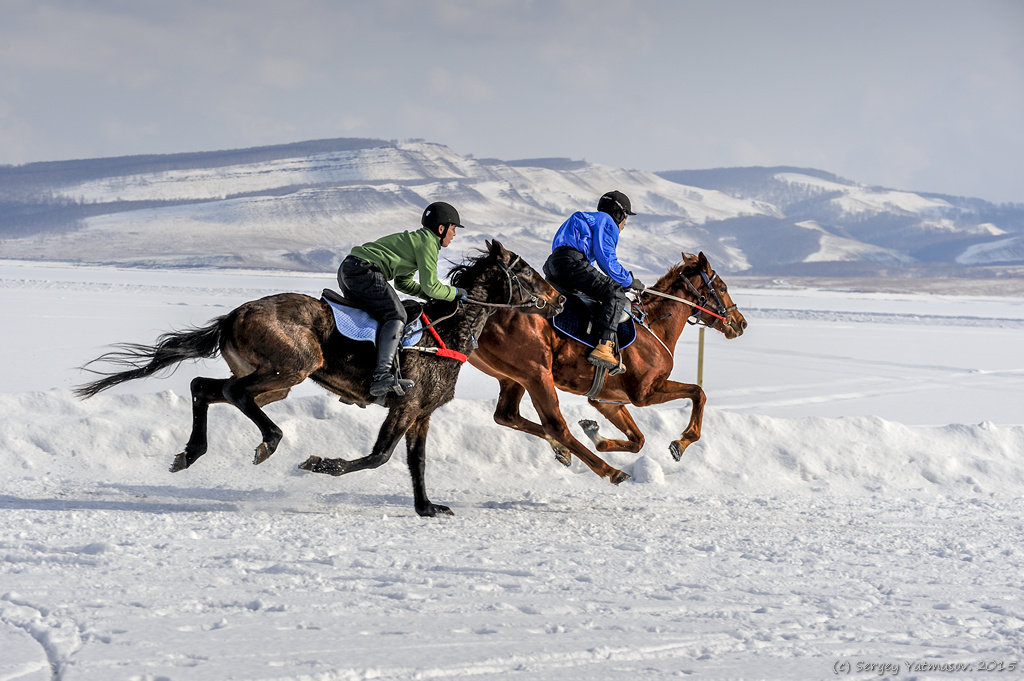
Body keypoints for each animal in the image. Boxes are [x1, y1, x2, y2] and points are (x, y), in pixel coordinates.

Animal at [75, 240, 565, 516]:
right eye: (524, 271)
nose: (558, 300)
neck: (446, 332)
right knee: (232, 392)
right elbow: (379, 457)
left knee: (206, 388)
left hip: (276, 382)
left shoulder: (422, 413)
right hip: (293, 366)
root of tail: (234, 315)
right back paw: (269, 442)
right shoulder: (405, 405)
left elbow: (417, 462)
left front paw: (427, 507)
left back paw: (190, 454)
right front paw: (320, 465)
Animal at [468, 250, 745, 483]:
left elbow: (637, 440)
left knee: (507, 416)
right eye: (722, 287)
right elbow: (698, 392)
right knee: (556, 426)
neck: (654, 326)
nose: (740, 322)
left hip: (512, 377)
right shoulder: (644, 392)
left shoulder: (608, 400)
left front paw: (594, 432)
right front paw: (682, 442)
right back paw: (610, 470)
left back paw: (563, 451)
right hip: (537, 373)